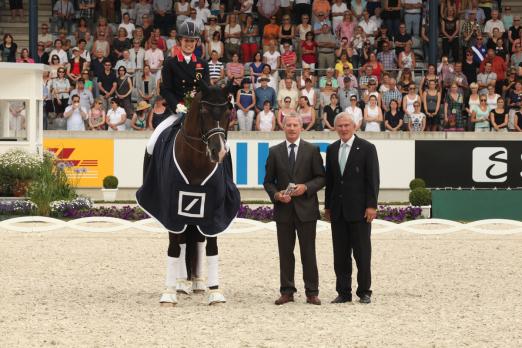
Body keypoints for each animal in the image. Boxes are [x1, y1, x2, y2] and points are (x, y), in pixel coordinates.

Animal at [135, 80, 239, 306]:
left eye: (228, 112)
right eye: (204, 111)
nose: (218, 151)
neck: (196, 162)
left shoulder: (213, 211)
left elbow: (211, 248)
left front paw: (215, 292)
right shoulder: (172, 210)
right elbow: (174, 248)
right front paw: (169, 293)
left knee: (197, 241)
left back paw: (198, 283)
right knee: (182, 242)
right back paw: (182, 283)